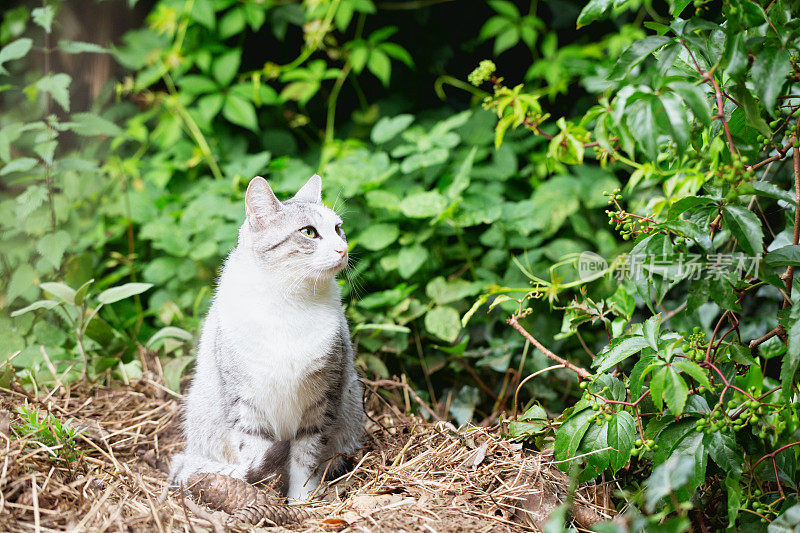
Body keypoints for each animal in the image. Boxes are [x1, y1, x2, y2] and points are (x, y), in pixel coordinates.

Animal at [172, 174, 366, 498]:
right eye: (309, 232)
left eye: (338, 229)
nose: (343, 249)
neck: (290, 303)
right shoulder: (246, 405)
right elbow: (256, 455)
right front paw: (263, 497)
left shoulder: (322, 401)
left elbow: (304, 458)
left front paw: (301, 500)